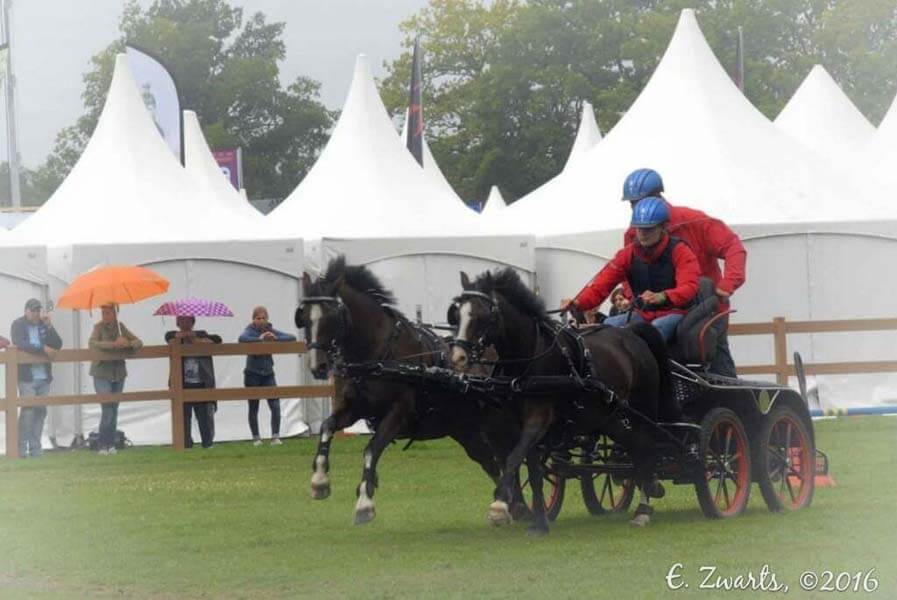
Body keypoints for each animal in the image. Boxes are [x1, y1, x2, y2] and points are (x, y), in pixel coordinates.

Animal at [296, 258, 520, 524]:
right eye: (304, 317)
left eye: (331, 316)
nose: (317, 366)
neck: (376, 356)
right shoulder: (352, 408)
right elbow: (326, 427)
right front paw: (319, 481)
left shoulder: (398, 413)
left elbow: (371, 450)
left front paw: (364, 502)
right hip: (467, 431)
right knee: (491, 464)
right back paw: (515, 507)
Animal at [448, 268, 672, 536]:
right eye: (456, 314)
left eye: (482, 316)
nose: (458, 357)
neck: (529, 358)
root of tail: (631, 332)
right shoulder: (518, 425)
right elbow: (533, 470)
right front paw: (539, 522)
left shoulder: (538, 418)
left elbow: (513, 458)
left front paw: (500, 506)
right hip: (611, 417)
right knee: (634, 449)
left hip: (642, 408)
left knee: (647, 448)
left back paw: (643, 509)